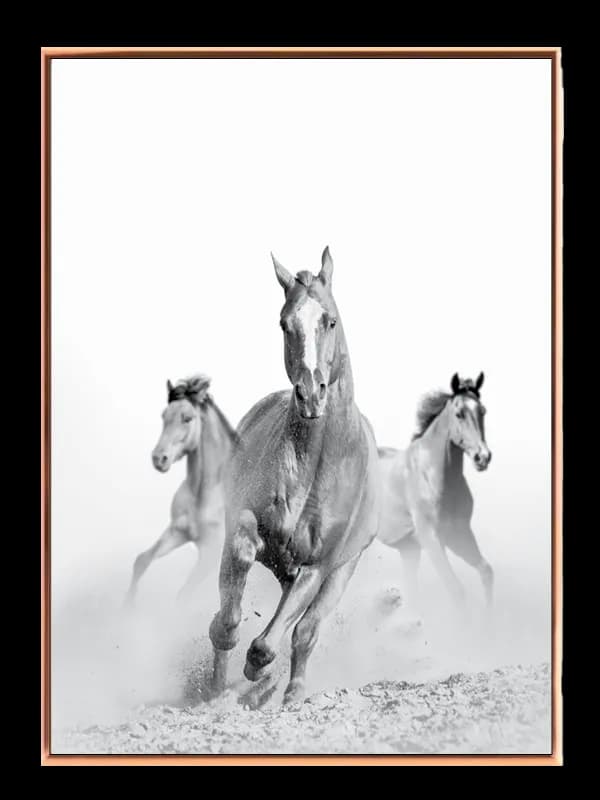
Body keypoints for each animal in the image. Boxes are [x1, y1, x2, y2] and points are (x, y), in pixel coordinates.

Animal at [125, 375, 239, 606]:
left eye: (188, 418)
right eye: (164, 416)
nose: (159, 458)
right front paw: (127, 605)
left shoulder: (212, 553)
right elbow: (142, 560)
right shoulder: (177, 531)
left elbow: (183, 595)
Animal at [208, 247, 380, 707]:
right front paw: (228, 658)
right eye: (285, 323)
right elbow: (232, 600)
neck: (315, 467)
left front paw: (258, 669)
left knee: (305, 632)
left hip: (341, 571)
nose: (311, 394)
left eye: (330, 320)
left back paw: (291, 693)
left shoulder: (317, 567)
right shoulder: (246, 526)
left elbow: (276, 640)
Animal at [377, 373, 493, 611]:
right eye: (459, 414)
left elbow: (486, 572)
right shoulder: (431, 538)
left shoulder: (459, 534)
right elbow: (456, 590)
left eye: (483, 411)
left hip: (409, 552)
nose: (483, 457)